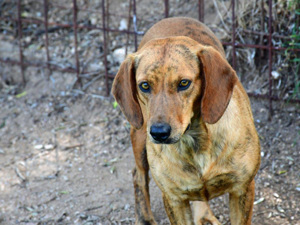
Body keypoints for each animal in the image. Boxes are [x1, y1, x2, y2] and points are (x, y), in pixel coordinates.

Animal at [111, 17, 258, 225]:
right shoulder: (174, 200)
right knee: (138, 175)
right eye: (144, 85)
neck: (196, 142)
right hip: (139, 135)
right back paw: (145, 218)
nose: (159, 133)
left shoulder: (242, 189)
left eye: (184, 83)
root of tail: (173, 18)